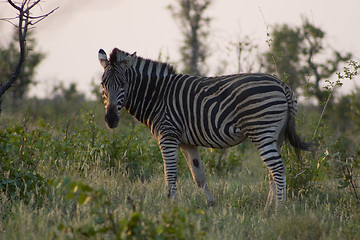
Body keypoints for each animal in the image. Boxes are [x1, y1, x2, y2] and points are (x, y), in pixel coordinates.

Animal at [98, 47, 310, 209]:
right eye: (102, 84)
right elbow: (198, 176)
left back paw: (279, 210)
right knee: (272, 171)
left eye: (123, 84)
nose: (110, 120)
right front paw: (211, 205)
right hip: (276, 136)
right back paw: (267, 208)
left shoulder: (168, 136)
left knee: (278, 169)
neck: (157, 95)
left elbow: (170, 175)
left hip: (262, 132)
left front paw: (170, 208)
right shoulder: (187, 143)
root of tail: (282, 84)